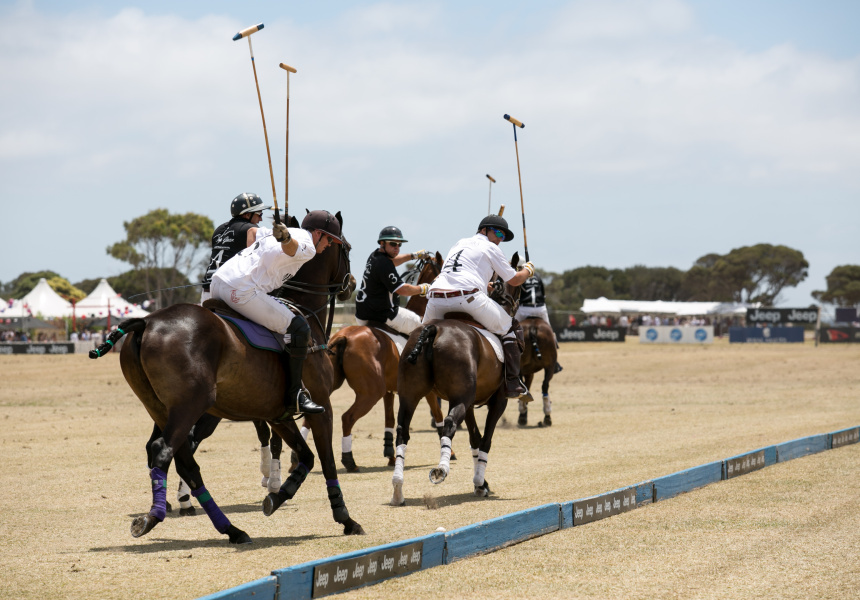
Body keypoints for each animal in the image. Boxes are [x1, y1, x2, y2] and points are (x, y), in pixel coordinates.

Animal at [91, 212, 365, 543]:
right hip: (193, 403)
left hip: (159, 407)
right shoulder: (321, 407)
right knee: (164, 452)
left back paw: (229, 528)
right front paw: (346, 518)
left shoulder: (277, 414)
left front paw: (276, 497)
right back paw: (155, 517)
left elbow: (306, 456)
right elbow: (326, 461)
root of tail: (145, 322)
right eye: (346, 248)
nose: (352, 283)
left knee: (184, 461)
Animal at [326, 253, 447, 472]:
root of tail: (344, 336)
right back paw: (349, 460)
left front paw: (391, 455)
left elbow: (390, 419)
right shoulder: (428, 390)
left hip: (332, 382)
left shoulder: (390, 391)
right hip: (371, 391)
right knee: (347, 417)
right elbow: (438, 414)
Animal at [390, 253, 522, 506]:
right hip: (460, 397)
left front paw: (481, 483)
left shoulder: (470, 403)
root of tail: (432, 329)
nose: (515, 306)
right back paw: (440, 470)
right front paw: (480, 483)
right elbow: (485, 439)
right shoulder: (498, 400)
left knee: (402, 430)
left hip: (410, 395)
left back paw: (398, 489)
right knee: (450, 423)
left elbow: (475, 438)